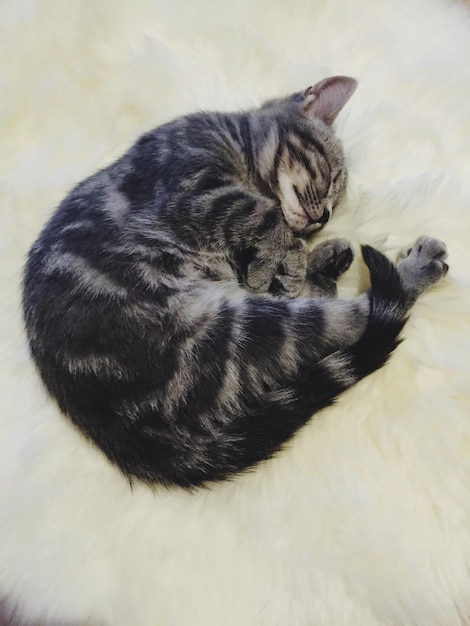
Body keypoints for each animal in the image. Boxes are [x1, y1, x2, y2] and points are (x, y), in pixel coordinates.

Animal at [21, 77, 448, 488]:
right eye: (330, 175)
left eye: (336, 197)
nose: (325, 217)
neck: (236, 143)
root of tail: (128, 434)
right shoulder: (195, 189)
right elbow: (266, 219)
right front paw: (292, 257)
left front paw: (300, 260)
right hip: (237, 327)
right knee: (355, 317)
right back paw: (411, 267)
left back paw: (333, 262)